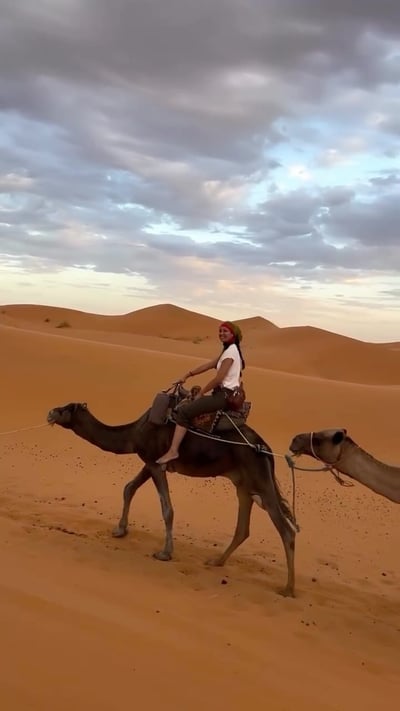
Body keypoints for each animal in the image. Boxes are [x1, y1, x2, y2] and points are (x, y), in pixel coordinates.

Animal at [47, 396, 298, 596]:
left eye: (66, 408)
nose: (50, 412)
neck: (133, 433)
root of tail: (265, 447)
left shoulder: (156, 463)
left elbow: (167, 509)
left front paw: (165, 553)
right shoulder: (151, 461)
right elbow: (129, 488)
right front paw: (120, 530)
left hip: (259, 479)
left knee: (286, 529)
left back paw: (288, 589)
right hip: (244, 484)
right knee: (243, 528)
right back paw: (216, 561)